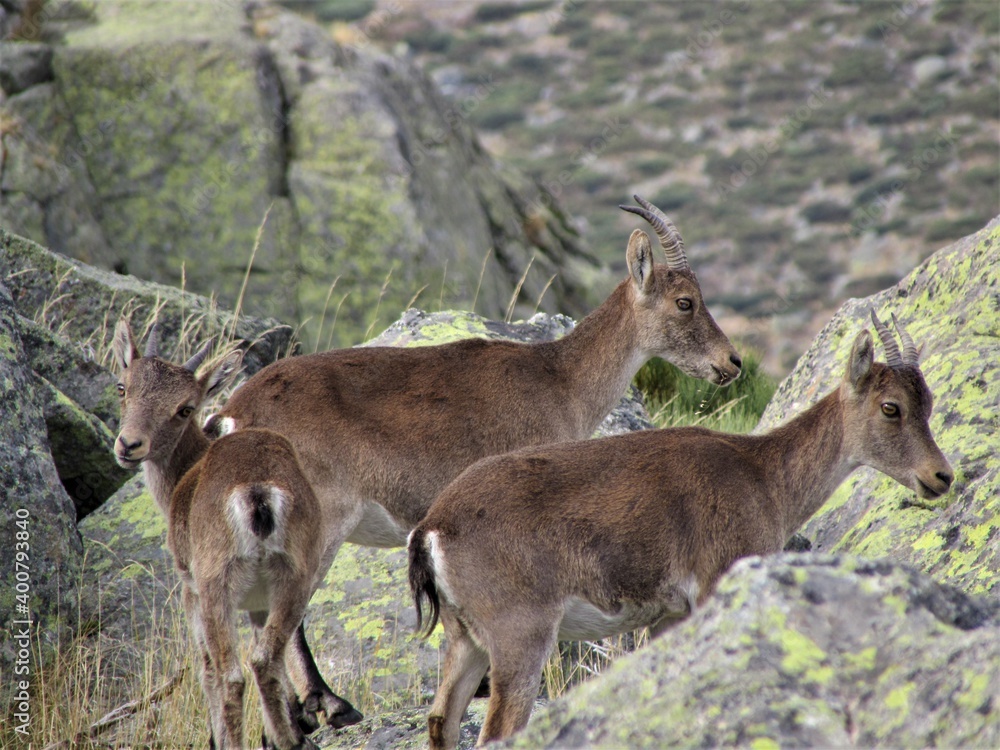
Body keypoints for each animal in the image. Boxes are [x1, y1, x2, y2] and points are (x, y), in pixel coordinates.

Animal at [111, 319, 360, 749]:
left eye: (185, 408)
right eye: (123, 386)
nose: (129, 445)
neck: (186, 474)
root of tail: (258, 492)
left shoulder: (191, 589)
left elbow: (206, 668)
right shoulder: (259, 603)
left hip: (217, 585)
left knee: (231, 674)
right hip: (295, 577)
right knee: (265, 659)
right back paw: (292, 740)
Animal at [211, 197, 741, 724]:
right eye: (685, 301)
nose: (732, 363)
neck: (560, 381)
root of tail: (234, 413)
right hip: (321, 520)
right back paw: (328, 703)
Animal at [409, 310, 954, 749]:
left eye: (928, 401)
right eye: (890, 406)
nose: (941, 476)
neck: (764, 477)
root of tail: (432, 529)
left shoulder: (669, 615)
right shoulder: (715, 583)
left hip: (465, 638)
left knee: (441, 721)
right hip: (520, 634)